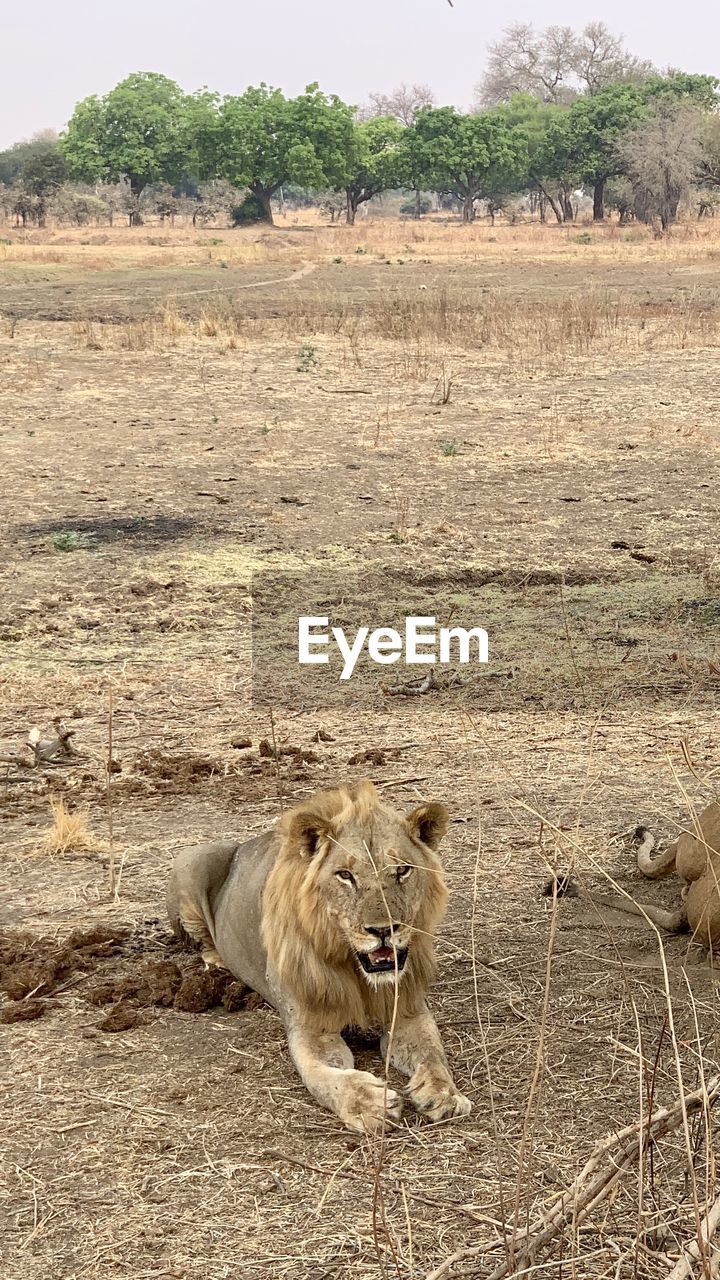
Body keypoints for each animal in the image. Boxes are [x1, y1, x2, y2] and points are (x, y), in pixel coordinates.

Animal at [167, 778, 471, 1131]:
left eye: (402, 871)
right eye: (345, 875)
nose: (384, 930)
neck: (357, 971)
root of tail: (243, 843)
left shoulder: (408, 1012)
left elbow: (434, 1055)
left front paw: (445, 1093)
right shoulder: (313, 1029)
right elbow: (323, 1076)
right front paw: (368, 1104)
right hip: (192, 862)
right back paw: (217, 965)